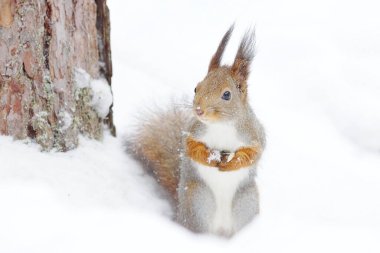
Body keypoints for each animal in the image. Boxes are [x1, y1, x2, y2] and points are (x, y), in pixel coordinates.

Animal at [126, 24, 266, 236]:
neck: (221, 125)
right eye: (196, 88)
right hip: (197, 202)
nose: (199, 110)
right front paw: (208, 158)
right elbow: (191, 147)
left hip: (246, 203)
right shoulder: (194, 130)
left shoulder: (253, 133)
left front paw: (232, 163)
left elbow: (253, 153)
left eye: (227, 95)